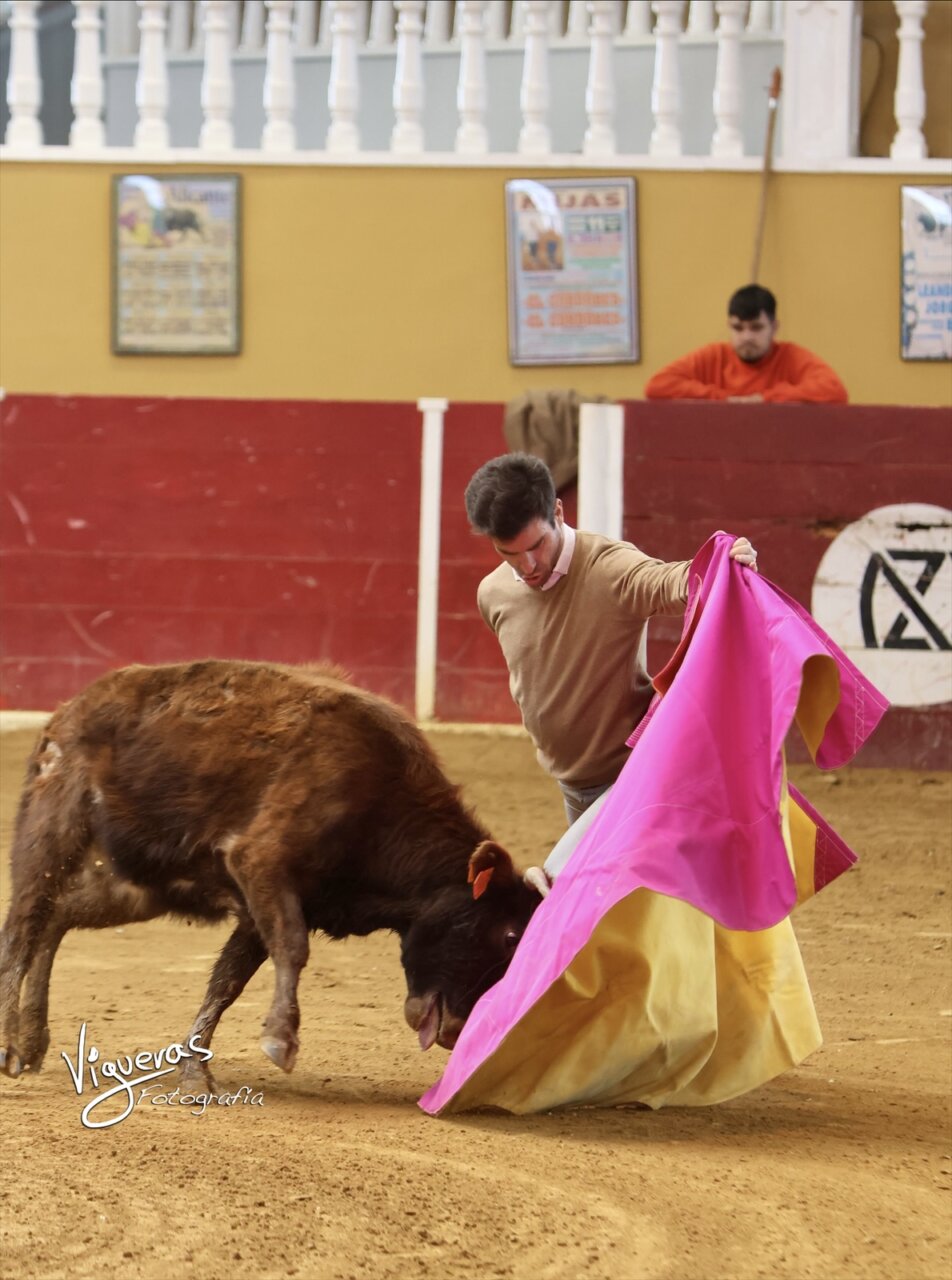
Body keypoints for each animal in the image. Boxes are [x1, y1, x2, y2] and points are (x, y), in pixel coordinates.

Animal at [0, 661, 543, 1087]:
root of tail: (66, 710)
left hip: (145, 884)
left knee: (57, 915)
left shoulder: (260, 901)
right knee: (22, 929)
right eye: (510, 934)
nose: (455, 1033)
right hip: (53, 828)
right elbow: (292, 947)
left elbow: (228, 982)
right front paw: (280, 1041)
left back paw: (34, 1039)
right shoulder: (260, 861)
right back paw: (10, 1047)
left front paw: (196, 1071)